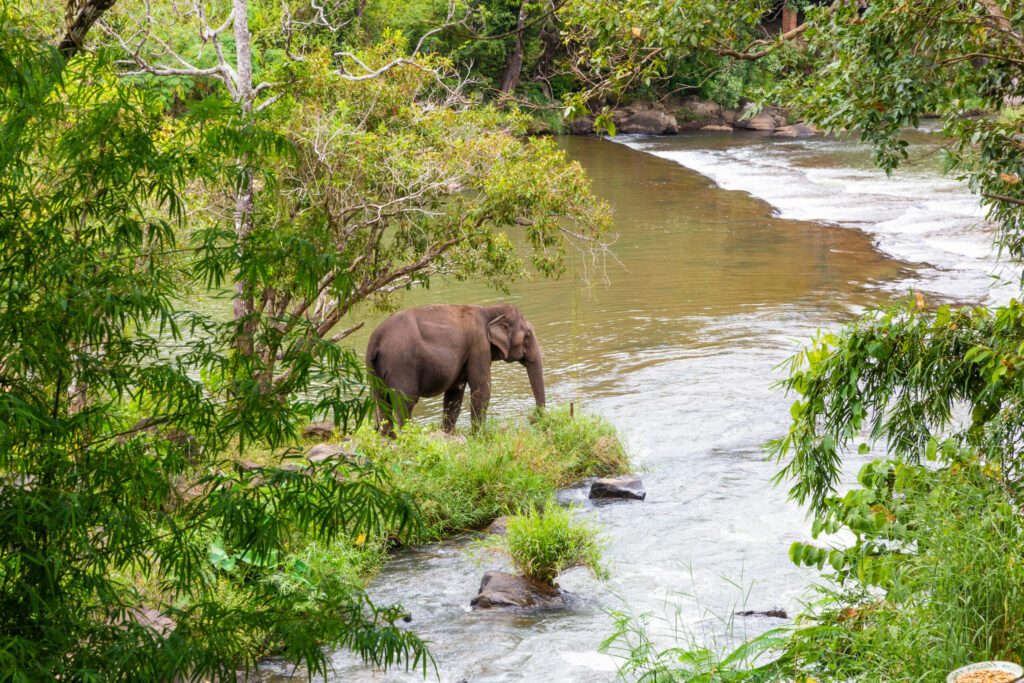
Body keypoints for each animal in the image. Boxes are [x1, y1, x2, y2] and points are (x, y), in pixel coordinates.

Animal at [366, 303, 544, 432]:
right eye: (528, 335)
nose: (533, 417)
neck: (489, 310)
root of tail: (375, 338)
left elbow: (454, 395)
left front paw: (447, 434)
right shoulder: (478, 346)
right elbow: (481, 390)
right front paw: (478, 437)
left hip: (374, 371)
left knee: (382, 403)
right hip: (402, 365)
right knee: (405, 403)